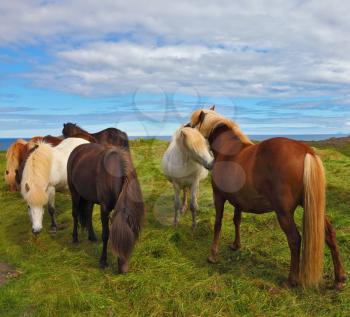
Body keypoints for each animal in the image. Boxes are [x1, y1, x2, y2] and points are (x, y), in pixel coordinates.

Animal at [67, 143, 144, 272]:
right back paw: (75, 238)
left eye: (131, 243)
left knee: (88, 212)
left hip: (89, 196)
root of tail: (77, 149)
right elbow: (105, 234)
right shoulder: (104, 208)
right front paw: (103, 261)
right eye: (116, 243)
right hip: (74, 192)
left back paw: (92, 237)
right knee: (75, 214)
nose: (123, 271)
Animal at [190, 107, 346, 288]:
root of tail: (306, 151)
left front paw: (213, 255)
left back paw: (292, 280)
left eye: (192, 124)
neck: (227, 151)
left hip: (284, 212)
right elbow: (237, 221)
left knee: (295, 239)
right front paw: (236, 245)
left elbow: (218, 223)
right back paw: (339, 278)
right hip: (313, 205)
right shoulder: (238, 201)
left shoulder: (219, 196)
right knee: (329, 235)